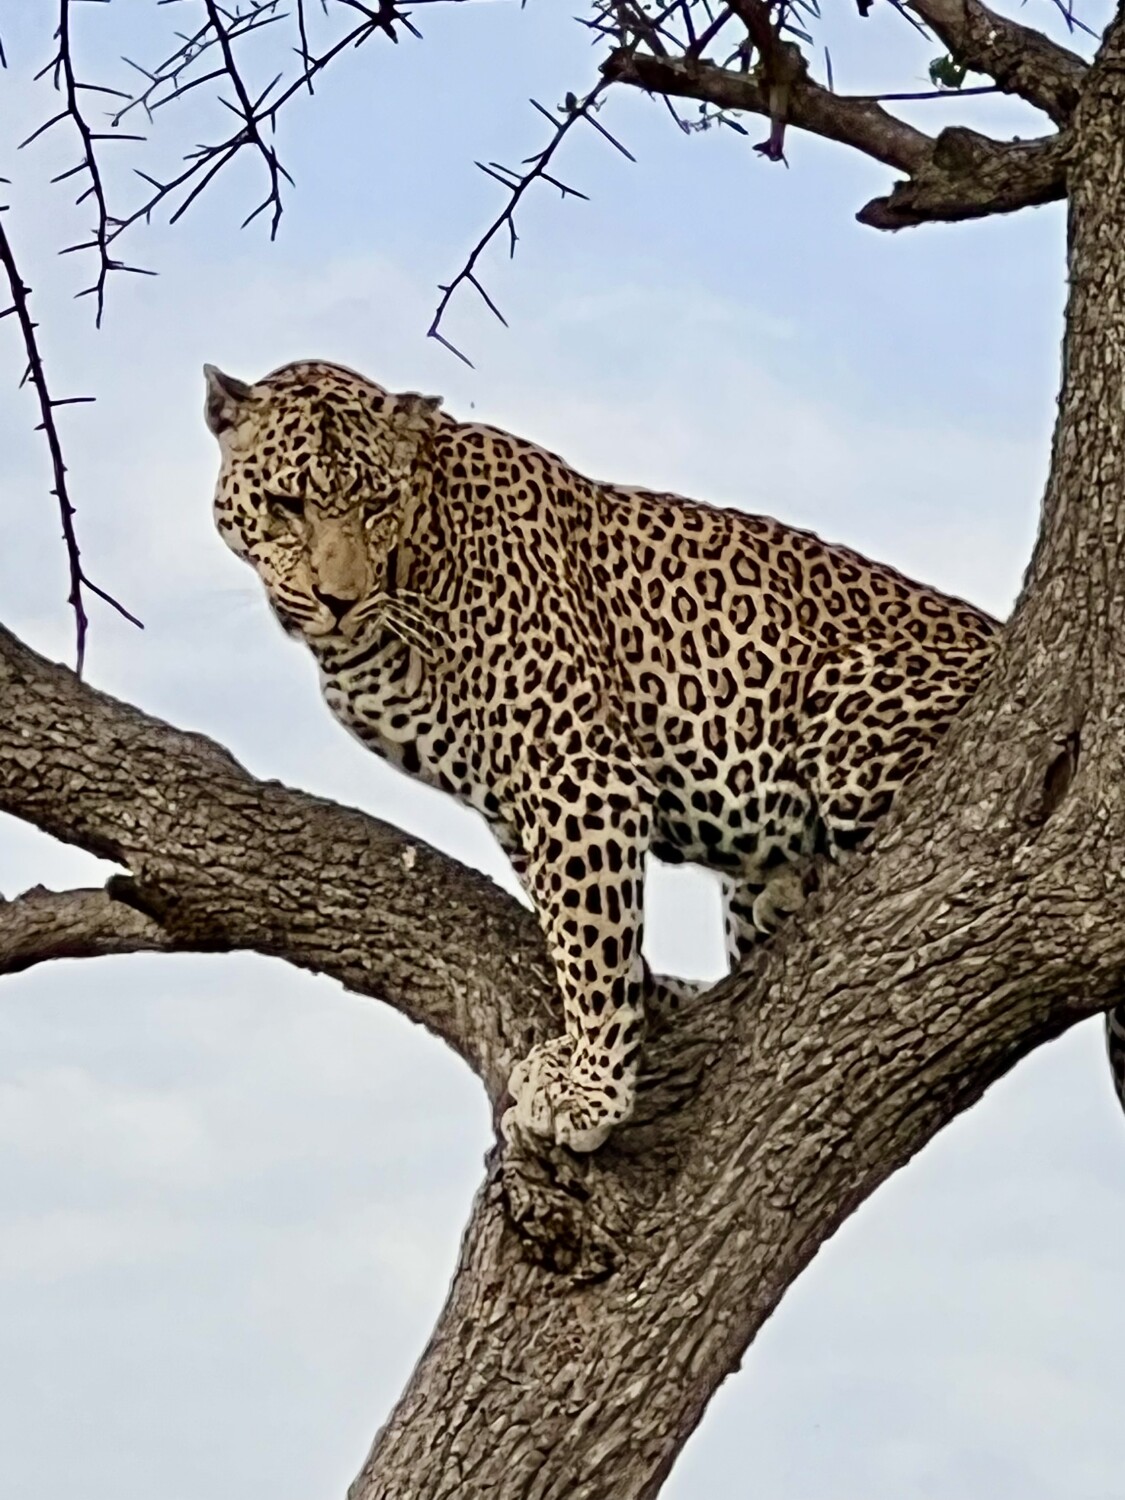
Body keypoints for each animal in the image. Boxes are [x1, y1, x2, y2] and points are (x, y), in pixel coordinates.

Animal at [204, 357, 1005, 1153]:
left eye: (374, 504)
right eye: (285, 505)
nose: (337, 599)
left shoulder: (578, 770)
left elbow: (589, 937)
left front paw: (591, 1089)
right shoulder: (512, 800)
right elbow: (571, 924)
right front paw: (593, 1041)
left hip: (849, 693)